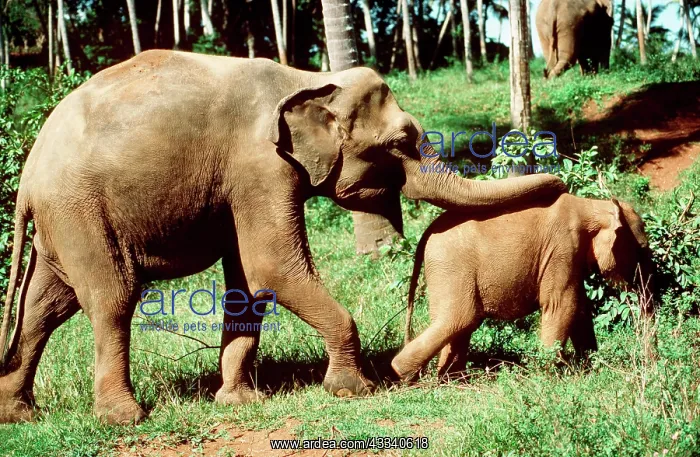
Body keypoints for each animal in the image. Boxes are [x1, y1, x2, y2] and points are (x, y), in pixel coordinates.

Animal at [0, 50, 567, 424]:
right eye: (401, 142)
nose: (563, 183)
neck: (309, 79)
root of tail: (28, 175)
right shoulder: (260, 166)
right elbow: (271, 266)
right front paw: (353, 389)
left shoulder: (242, 182)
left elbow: (247, 283)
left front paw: (238, 402)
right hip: (81, 210)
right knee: (111, 297)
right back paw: (125, 417)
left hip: (63, 222)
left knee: (43, 305)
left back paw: (18, 414)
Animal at [391, 194, 654, 381]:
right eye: (641, 249)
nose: (651, 362)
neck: (593, 205)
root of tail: (426, 233)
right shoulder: (562, 250)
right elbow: (562, 306)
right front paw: (550, 376)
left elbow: (579, 308)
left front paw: (588, 367)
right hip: (451, 266)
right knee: (460, 318)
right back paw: (404, 376)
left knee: (458, 323)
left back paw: (452, 380)